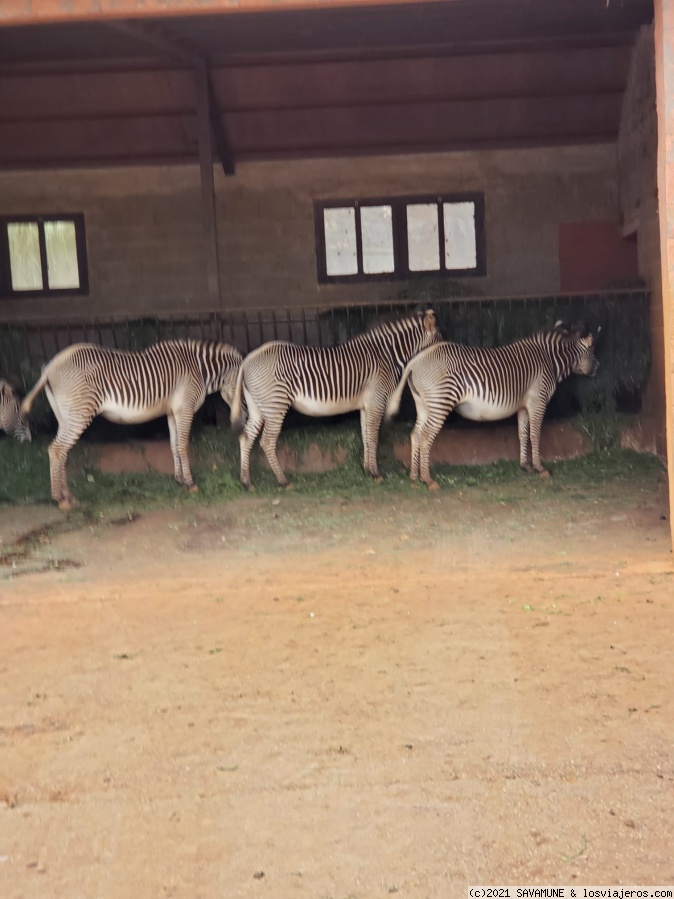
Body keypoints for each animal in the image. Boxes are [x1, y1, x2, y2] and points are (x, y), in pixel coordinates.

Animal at [21, 340, 242, 510]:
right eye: (242, 387)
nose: (240, 420)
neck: (199, 370)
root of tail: (50, 367)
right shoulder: (184, 409)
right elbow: (182, 445)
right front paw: (190, 483)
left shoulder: (172, 412)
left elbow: (173, 445)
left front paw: (179, 479)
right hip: (79, 413)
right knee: (57, 449)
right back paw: (60, 499)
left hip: (65, 416)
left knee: (62, 452)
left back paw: (69, 496)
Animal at [230, 310, 440, 492]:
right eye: (440, 340)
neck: (387, 356)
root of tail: (248, 359)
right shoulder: (377, 400)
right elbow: (373, 436)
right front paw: (376, 473)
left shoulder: (366, 405)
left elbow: (366, 435)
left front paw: (367, 470)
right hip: (275, 404)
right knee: (267, 441)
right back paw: (283, 481)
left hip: (258, 406)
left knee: (246, 436)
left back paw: (246, 482)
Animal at [384, 326, 600, 492]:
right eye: (592, 351)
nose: (597, 368)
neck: (549, 360)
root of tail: (416, 360)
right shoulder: (537, 401)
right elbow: (535, 435)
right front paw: (540, 468)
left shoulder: (523, 406)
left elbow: (523, 434)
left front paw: (526, 466)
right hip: (440, 402)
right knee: (425, 437)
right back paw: (428, 479)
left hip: (424, 404)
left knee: (415, 434)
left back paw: (414, 476)